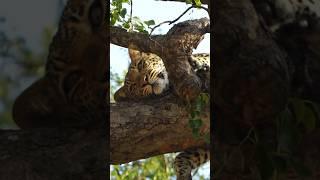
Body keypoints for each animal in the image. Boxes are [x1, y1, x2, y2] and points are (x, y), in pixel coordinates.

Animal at [114, 47, 210, 179]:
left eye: (140, 65)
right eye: (133, 87)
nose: (145, 82)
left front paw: (197, 64)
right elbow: (183, 157)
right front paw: (182, 172)